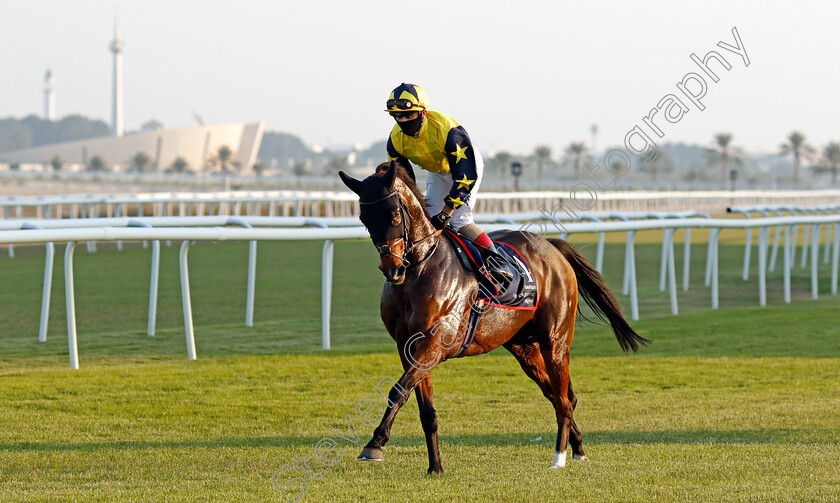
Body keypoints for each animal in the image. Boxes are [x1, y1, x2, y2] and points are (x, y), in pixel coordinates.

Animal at [338, 163, 648, 474]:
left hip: (555, 342)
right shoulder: (408, 347)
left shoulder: (434, 344)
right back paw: (578, 448)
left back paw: (559, 457)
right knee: (558, 394)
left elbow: (397, 390)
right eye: (364, 218)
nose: (392, 269)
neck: (420, 269)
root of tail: (551, 248)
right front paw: (435, 467)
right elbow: (423, 408)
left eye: (393, 214)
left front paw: (374, 444)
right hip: (524, 347)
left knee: (562, 399)